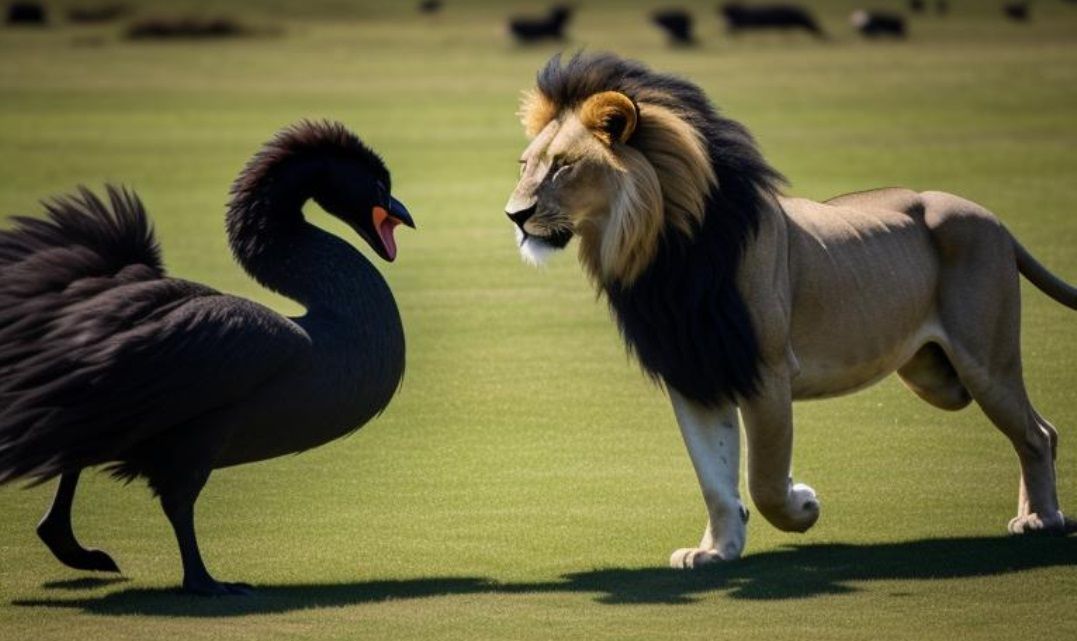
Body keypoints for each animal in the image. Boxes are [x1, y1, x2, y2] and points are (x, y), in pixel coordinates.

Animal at [504, 52, 1077, 567]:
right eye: (527, 165)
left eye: (564, 165)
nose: (515, 214)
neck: (664, 258)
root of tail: (994, 218)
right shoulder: (694, 375)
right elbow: (714, 478)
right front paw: (716, 551)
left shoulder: (768, 373)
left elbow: (763, 478)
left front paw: (803, 506)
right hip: (934, 375)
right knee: (1039, 430)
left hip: (984, 360)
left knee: (1035, 434)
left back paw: (1042, 519)